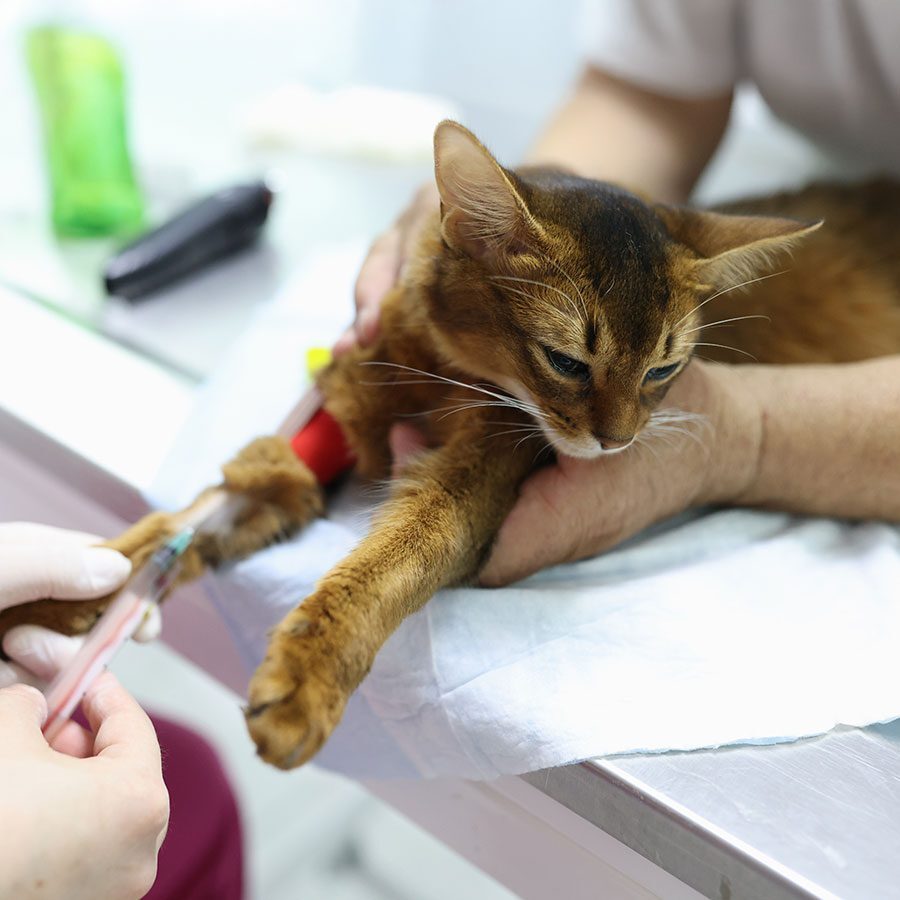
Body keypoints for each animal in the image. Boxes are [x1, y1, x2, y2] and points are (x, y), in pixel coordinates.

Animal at [3, 119, 896, 768]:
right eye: (567, 361)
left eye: (665, 371)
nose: (615, 444)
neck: (440, 368)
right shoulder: (338, 416)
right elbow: (185, 524)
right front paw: (64, 588)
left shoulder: (484, 472)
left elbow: (396, 560)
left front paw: (304, 684)